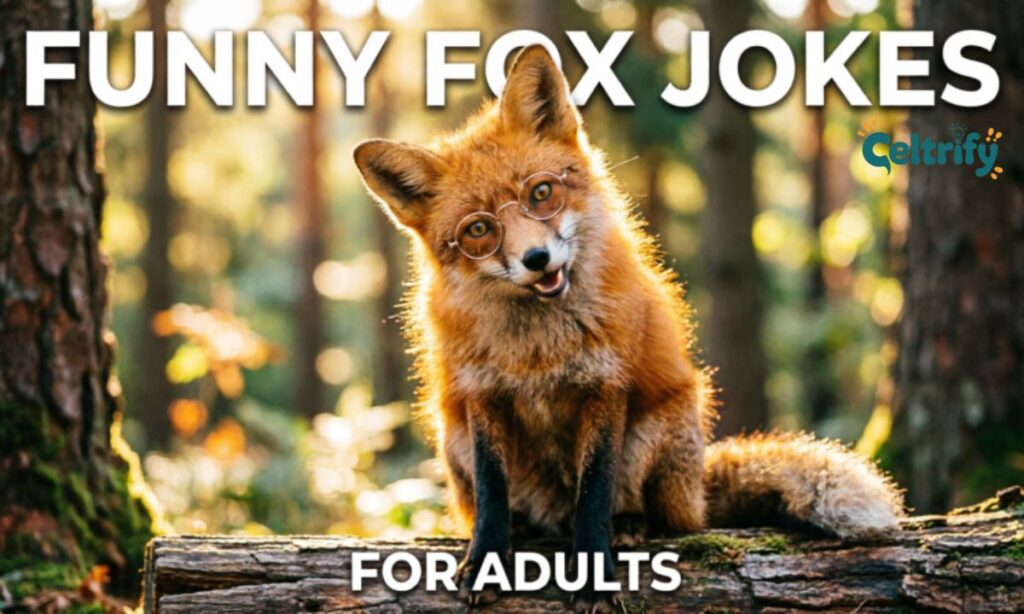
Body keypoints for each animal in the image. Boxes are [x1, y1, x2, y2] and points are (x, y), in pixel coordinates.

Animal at [353, 45, 904, 612]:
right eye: (479, 230)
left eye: (542, 192)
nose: (536, 259)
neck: (538, 348)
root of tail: (697, 490)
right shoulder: (483, 395)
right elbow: (491, 495)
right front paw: (486, 560)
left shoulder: (605, 386)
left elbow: (594, 493)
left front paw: (593, 575)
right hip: (453, 436)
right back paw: (528, 529)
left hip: (656, 433)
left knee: (663, 519)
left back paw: (630, 525)